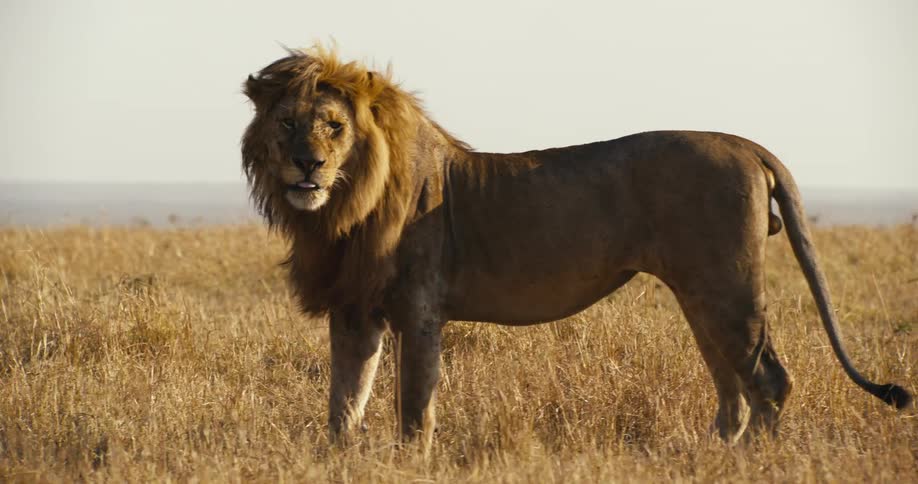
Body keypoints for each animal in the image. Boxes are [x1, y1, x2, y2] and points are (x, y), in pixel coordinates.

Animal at [241, 46, 911, 451]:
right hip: (703, 296)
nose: (307, 164)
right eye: (287, 123)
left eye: (334, 126)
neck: (344, 207)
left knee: (769, 380)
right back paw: (715, 453)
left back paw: (754, 461)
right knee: (735, 390)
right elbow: (343, 404)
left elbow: (414, 409)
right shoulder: (355, 311)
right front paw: (340, 458)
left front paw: (411, 461)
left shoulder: (420, 311)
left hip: (728, 288)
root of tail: (745, 143)